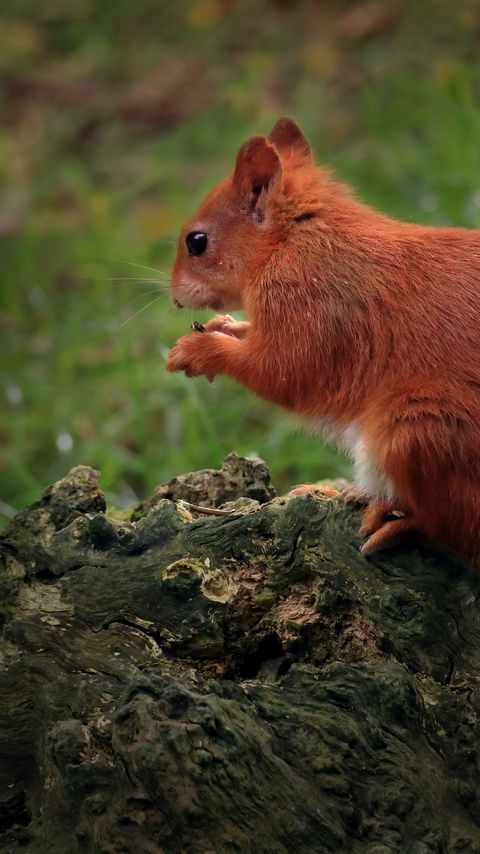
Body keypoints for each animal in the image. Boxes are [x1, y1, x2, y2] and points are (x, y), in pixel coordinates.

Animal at [167, 113, 480, 568]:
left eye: (197, 242)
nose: (174, 296)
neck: (292, 242)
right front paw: (226, 326)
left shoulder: (313, 306)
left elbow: (285, 371)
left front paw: (201, 350)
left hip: (419, 429)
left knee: (459, 528)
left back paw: (400, 521)